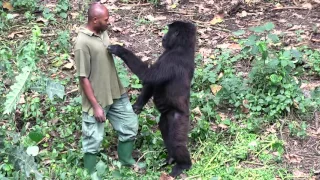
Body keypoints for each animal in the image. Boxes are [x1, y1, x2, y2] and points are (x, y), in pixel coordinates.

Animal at [107, 21, 196, 177]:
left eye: (169, 31)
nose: (163, 37)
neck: (183, 46)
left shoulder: (172, 59)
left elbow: (149, 75)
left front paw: (119, 49)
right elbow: (151, 83)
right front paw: (138, 106)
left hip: (180, 118)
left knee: (177, 142)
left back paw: (184, 164)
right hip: (167, 117)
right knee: (165, 130)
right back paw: (171, 157)